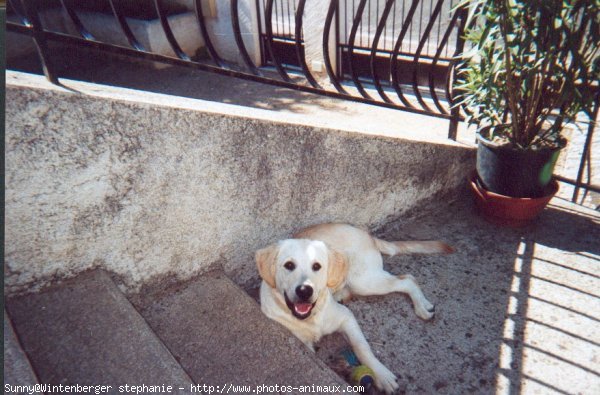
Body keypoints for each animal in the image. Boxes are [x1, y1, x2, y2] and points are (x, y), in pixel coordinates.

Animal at [255, 224, 452, 394]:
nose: (305, 291)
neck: (310, 318)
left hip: (364, 281)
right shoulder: (301, 342)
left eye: (317, 266)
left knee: (408, 279)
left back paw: (422, 306)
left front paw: (381, 375)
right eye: (289, 265)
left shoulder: (346, 317)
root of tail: (363, 232)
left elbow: (361, 347)